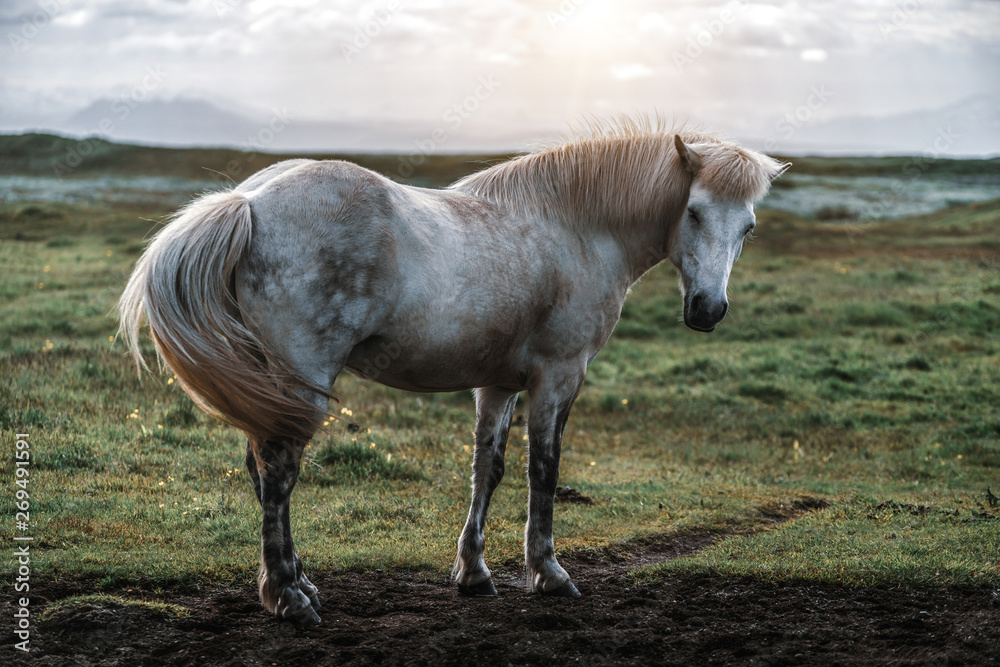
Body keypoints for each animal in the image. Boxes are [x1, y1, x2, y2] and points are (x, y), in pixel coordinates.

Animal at [117, 118, 788, 628]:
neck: (576, 228)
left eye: (748, 227)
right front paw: (548, 572)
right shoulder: (558, 377)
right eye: (694, 213)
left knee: (261, 473)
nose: (708, 310)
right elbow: (544, 469)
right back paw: (289, 598)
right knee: (278, 476)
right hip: (300, 381)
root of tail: (250, 202)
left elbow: (486, 470)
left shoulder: (497, 384)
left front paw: (474, 572)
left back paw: (298, 583)